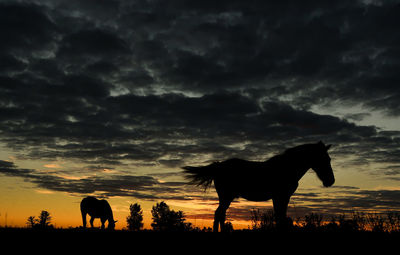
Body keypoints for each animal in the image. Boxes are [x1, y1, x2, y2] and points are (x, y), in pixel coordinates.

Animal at [184, 140, 334, 232]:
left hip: (225, 197)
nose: (331, 181)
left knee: (221, 214)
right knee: (219, 214)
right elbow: (280, 217)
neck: (287, 168)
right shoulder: (281, 196)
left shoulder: (280, 198)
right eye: (324, 159)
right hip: (226, 196)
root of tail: (218, 166)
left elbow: (280, 217)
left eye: (329, 159)